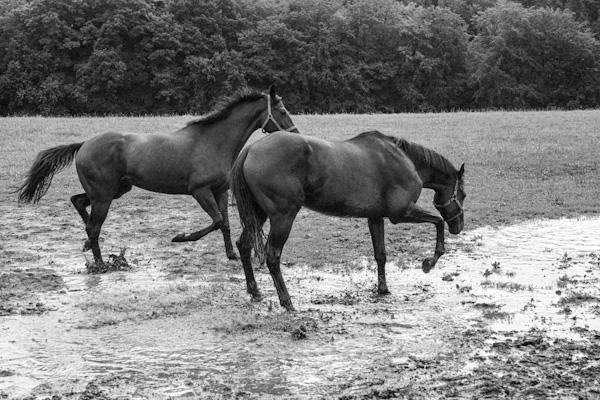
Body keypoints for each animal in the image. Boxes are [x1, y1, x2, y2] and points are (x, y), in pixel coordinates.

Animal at [17, 85, 298, 266]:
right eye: (283, 111)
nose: (295, 134)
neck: (213, 141)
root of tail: (85, 144)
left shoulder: (220, 190)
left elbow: (225, 224)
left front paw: (230, 255)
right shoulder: (200, 191)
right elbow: (217, 221)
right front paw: (181, 237)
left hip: (114, 191)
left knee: (78, 204)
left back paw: (88, 245)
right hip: (104, 197)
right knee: (94, 227)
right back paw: (99, 263)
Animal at [232, 130, 466, 310]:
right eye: (463, 194)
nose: (459, 226)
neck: (403, 160)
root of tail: (251, 149)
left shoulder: (375, 218)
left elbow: (380, 255)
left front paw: (383, 289)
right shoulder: (401, 213)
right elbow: (438, 222)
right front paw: (429, 263)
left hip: (259, 215)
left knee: (243, 245)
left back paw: (254, 291)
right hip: (283, 218)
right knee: (272, 257)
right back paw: (286, 301)